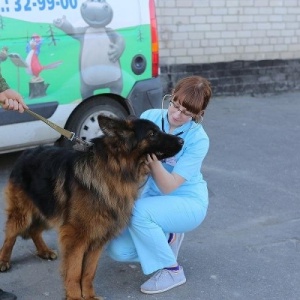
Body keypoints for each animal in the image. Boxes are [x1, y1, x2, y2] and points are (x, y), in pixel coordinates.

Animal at [0, 114, 183, 298]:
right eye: (152, 134)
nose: (182, 140)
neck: (115, 170)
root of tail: (26, 152)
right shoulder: (75, 237)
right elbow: (74, 272)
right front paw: (75, 296)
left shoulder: (98, 238)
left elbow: (88, 272)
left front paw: (89, 296)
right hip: (24, 214)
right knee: (11, 235)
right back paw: (3, 260)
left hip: (47, 210)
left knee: (34, 230)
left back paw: (44, 251)